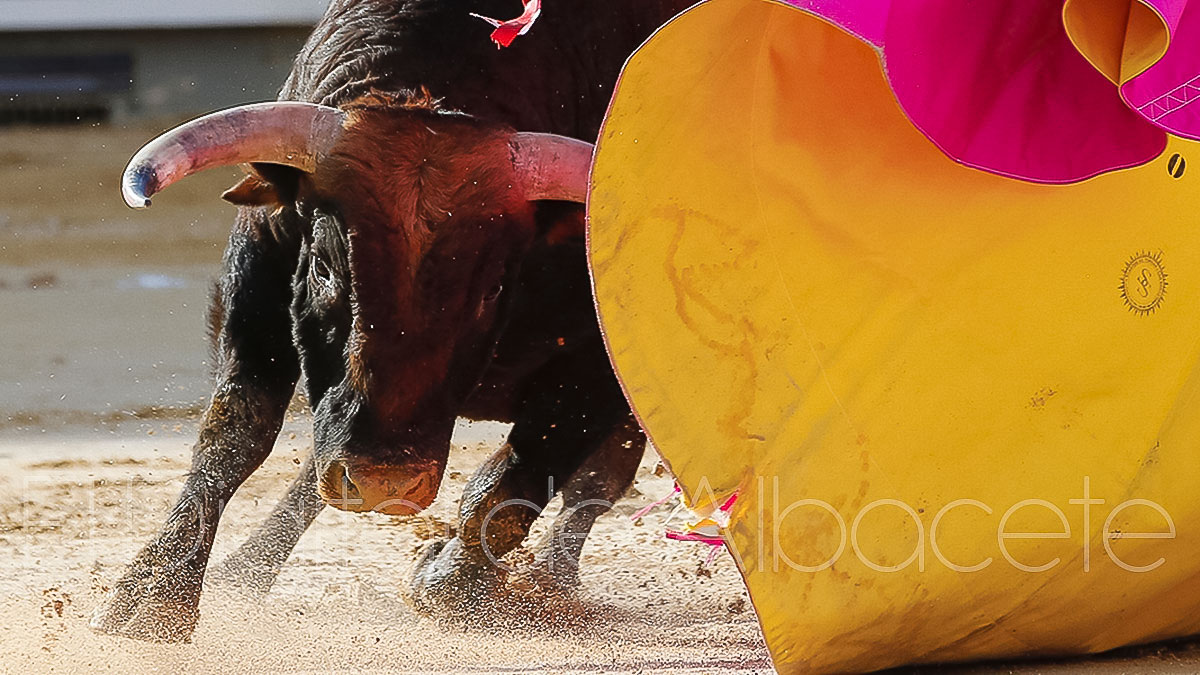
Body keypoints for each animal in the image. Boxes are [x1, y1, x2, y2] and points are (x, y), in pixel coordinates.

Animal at [91, 0, 696, 638]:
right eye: (325, 267)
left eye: (492, 289)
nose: (385, 481)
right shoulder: (259, 279)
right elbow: (233, 434)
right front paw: (151, 598)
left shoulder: (598, 370)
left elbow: (518, 480)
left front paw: (449, 579)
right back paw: (245, 572)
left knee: (596, 484)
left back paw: (549, 582)